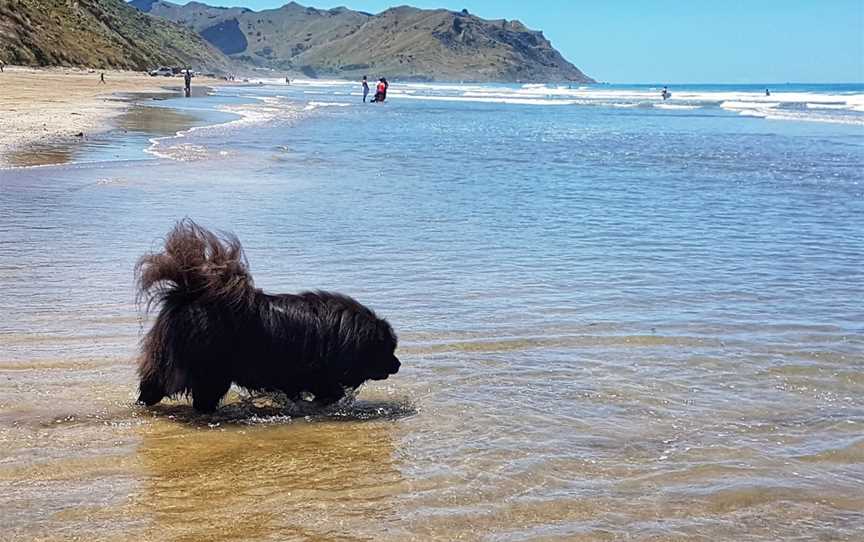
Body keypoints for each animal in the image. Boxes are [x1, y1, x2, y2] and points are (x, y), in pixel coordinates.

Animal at [136, 220, 402, 412]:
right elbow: (329, 391)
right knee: (202, 397)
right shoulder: (313, 373)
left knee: (151, 387)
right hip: (210, 370)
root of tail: (190, 294)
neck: (339, 333)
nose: (398, 364)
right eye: (386, 349)